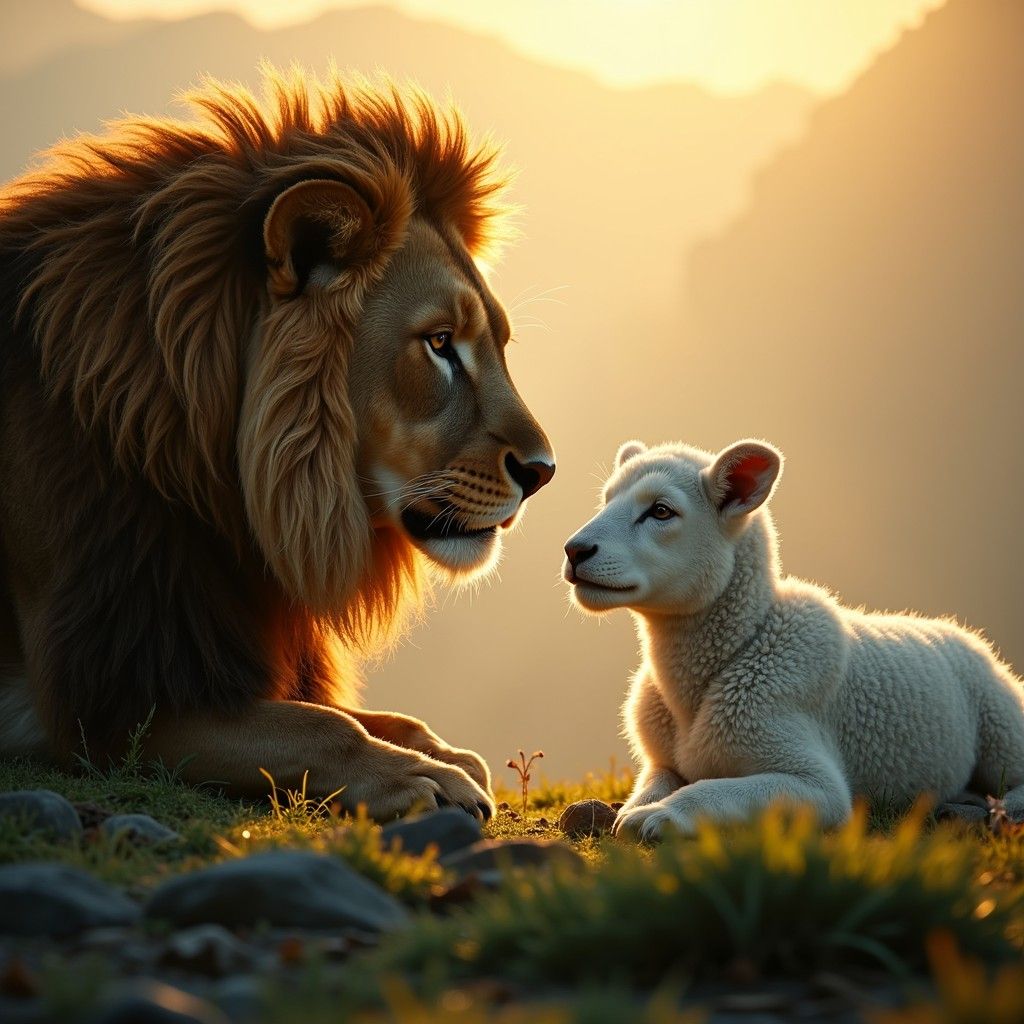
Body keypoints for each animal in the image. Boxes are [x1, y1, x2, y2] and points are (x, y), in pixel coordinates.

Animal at [0, 69, 555, 821]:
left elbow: (372, 715)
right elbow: (322, 726)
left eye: (497, 343)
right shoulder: (107, 704)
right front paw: (427, 778)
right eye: (440, 343)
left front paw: (445, 753)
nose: (543, 471)